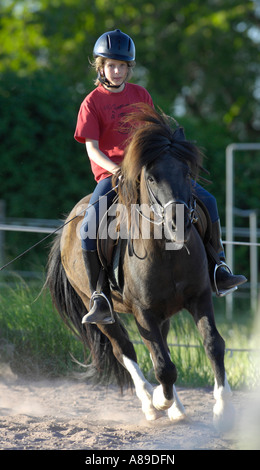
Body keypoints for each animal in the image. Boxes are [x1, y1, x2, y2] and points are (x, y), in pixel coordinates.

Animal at [45, 105, 235, 430]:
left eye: (187, 173)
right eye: (152, 177)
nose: (178, 224)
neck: (167, 253)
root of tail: (68, 222)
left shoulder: (199, 298)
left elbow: (212, 345)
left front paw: (222, 408)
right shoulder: (143, 313)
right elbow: (163, 366)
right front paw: (160, 401)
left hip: (163, 313)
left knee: (160, 349)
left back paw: (175, 408)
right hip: (101, 312)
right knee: (126, 350)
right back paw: (151, 404)